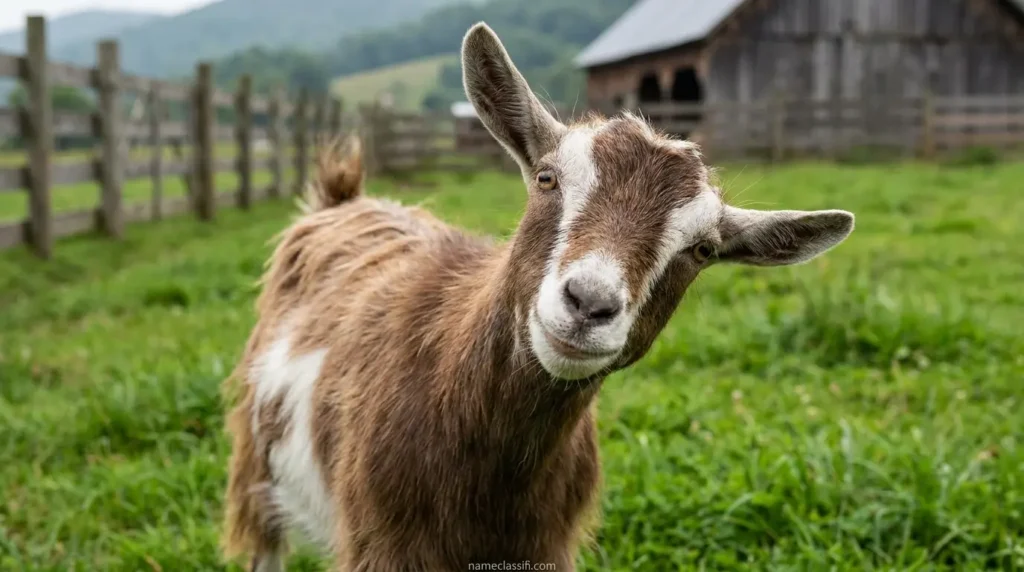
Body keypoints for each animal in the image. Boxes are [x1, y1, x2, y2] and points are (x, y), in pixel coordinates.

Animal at [221, 22, 855, 572]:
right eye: (547, 178)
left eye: (701, 249)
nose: (589, 303)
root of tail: (344, 197)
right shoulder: (382, 545)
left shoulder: (544, 544)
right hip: (256, 462)